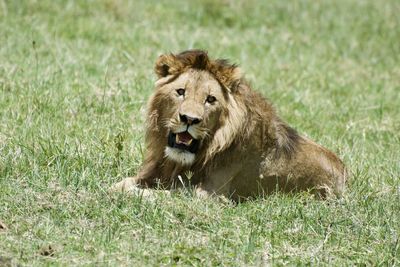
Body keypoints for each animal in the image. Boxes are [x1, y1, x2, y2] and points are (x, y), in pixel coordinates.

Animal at [112, 50, 346, 201]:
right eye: (180, 92)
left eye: (210, 99)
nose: (189, 119)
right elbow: (125, 182)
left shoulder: (208, 196)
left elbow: (157, 195)